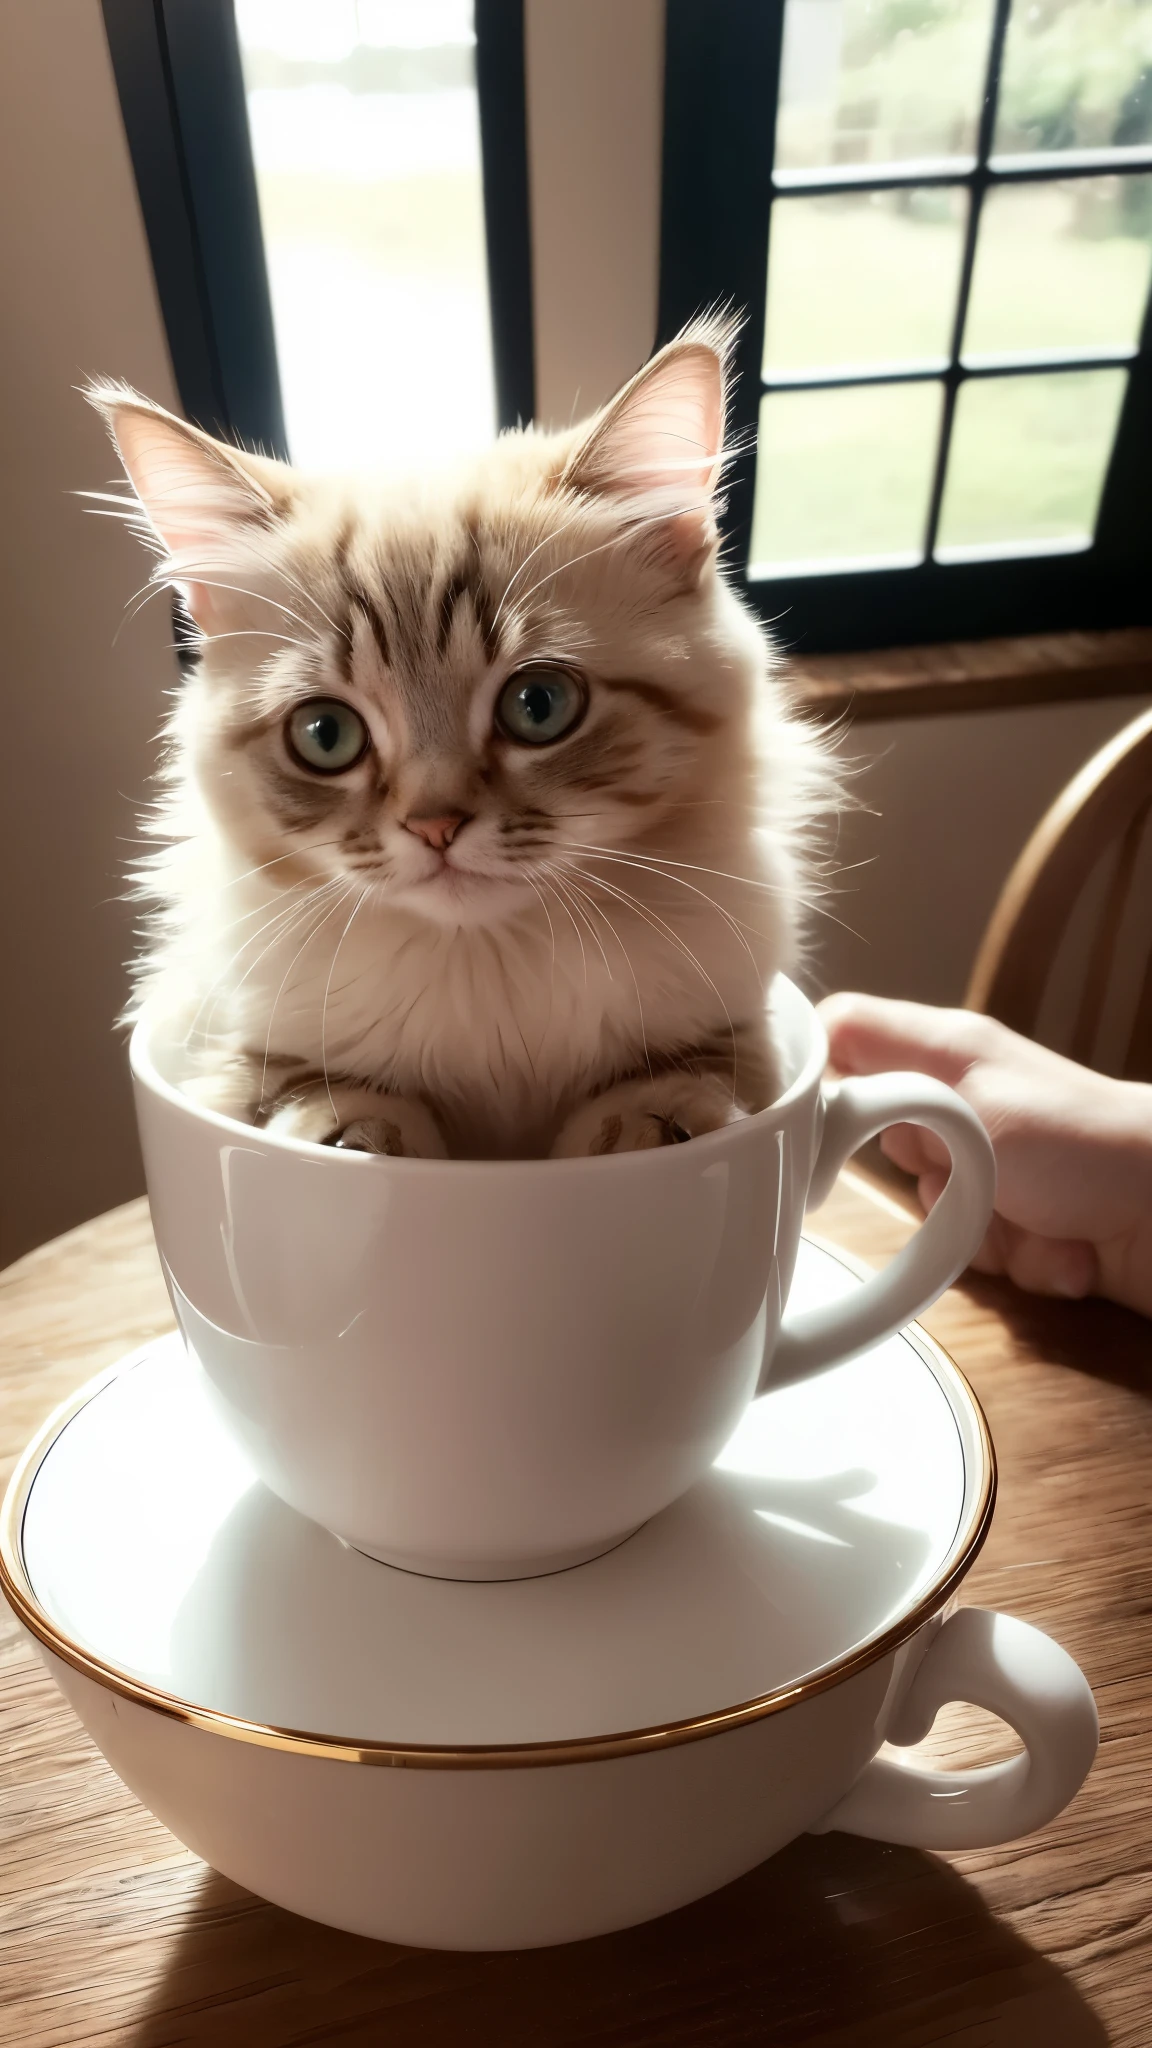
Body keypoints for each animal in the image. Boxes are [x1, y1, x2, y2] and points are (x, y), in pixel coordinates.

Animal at [87, 315, 824, 1155]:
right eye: (325, 734)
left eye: (539, 705)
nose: (434, 826)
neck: (488, 966)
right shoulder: (248, 1052)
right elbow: (325, 1100)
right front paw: (352, 1139)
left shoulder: (732, 1029)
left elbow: (672, 1088)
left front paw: (658, 1128)